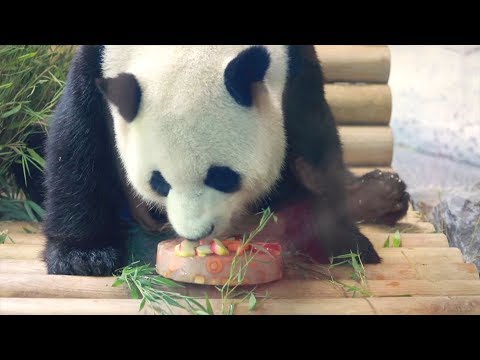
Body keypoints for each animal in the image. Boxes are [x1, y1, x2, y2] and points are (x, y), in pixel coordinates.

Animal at [43, 45, 408, 276]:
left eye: (222, 176)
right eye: (159, 182)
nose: (196, 233)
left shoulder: (296, 68)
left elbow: (316, 146)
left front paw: (344, 244)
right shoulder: (97, 62)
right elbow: (77, 138)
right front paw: (83, 256)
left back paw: (385, 192)